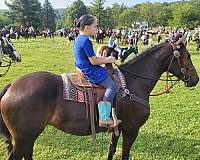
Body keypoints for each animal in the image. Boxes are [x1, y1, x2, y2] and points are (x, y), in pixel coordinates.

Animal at [0, 38, 198, 159]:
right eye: (187, 56)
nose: (195, 79)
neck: (133, 83)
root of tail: (12, 87)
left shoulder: (117, 129)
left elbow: (111, 150)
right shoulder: (131, 130)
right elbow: (124, 154)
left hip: (28, 137)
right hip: (23, 137)